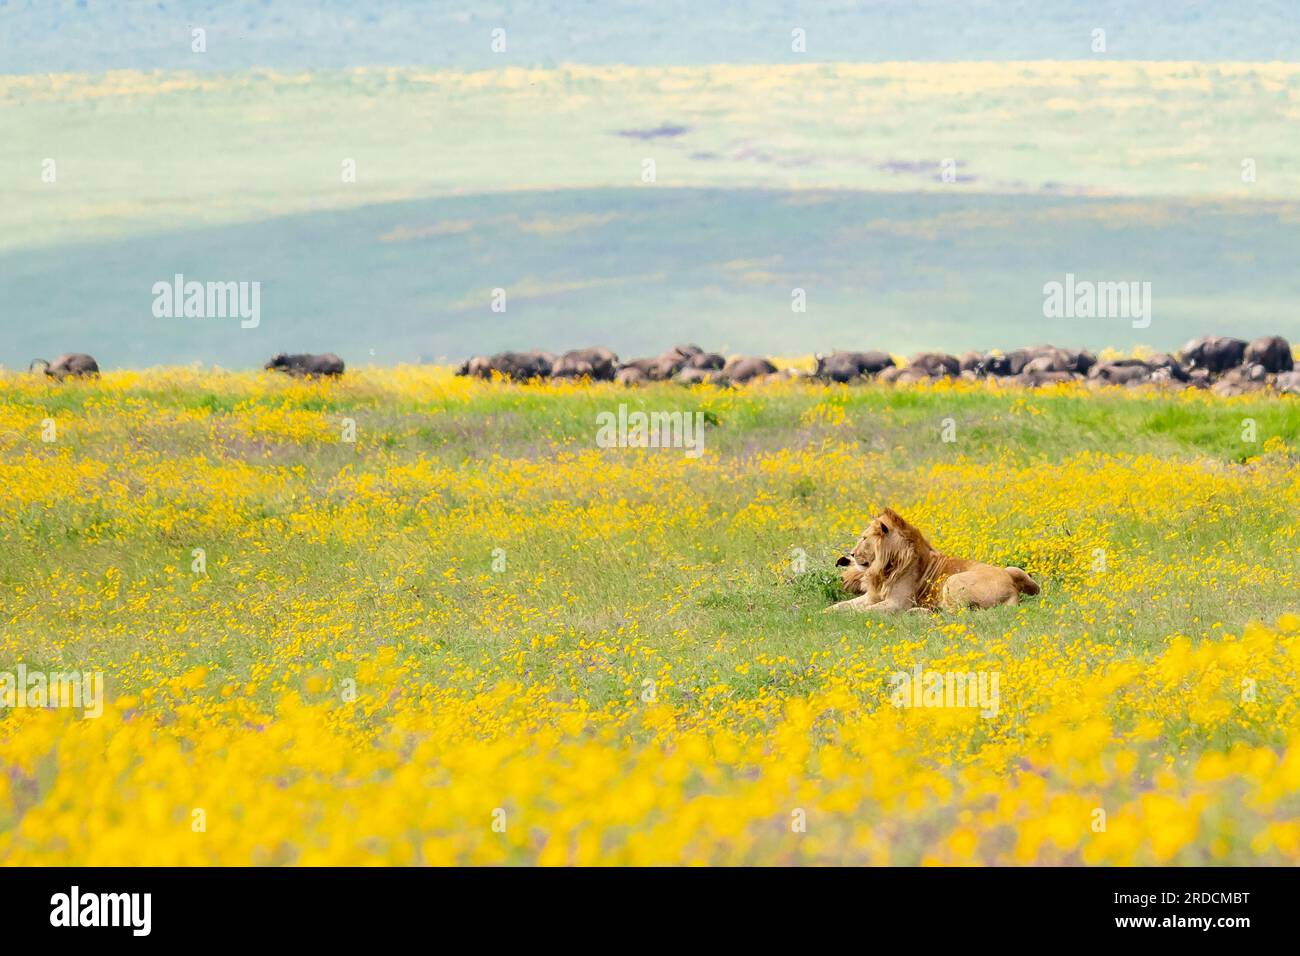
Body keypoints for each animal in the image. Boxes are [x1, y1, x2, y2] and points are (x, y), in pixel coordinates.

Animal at [826, 509, 1040, 613]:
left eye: (864, 538)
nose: (851, 554)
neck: (884, 569)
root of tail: (1013, 589)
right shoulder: (872, 596)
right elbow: (841, 606)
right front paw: (823, 613)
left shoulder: (897, 603)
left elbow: (864, 611)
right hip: (1013, 569)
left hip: (952, 580)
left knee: (955, 613)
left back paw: (920, 612)